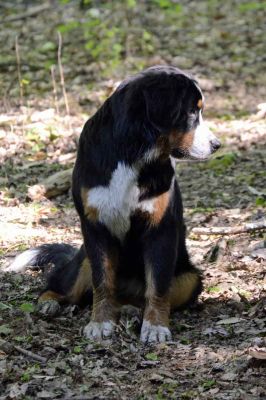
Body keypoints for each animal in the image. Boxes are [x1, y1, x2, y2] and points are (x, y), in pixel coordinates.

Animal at [9, 65, 220, 344]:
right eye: (191, 112)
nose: (217, 145)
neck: (132, 153)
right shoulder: (95, 227)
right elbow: (103, 282)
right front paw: (100, 323)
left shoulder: (161, 229)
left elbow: (158, 286)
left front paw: (155, 326)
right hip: (83, 261)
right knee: (57, 286)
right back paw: (50, 303)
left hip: (189, 277)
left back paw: (132, 310)